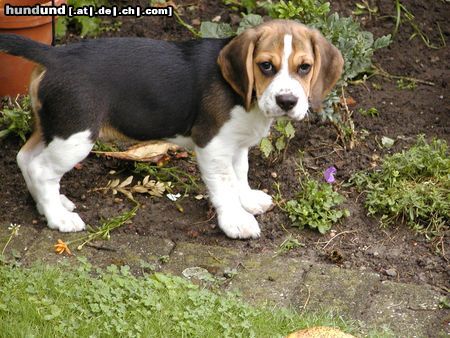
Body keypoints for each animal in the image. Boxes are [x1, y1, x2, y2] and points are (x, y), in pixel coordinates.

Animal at [0, 19, 342, 239]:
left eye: (304, 68)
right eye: (266, 66)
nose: (287, 101)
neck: (245, 94)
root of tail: (55, 54)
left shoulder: (236, 145)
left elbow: (240, 174)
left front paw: (247, 201)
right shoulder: (212, 146)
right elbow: (225, 185)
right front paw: (235, 221)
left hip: (53, 128)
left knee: (25, 159)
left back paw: (50, 205)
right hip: (75, 136)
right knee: (42, 169)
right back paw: (58, 218)